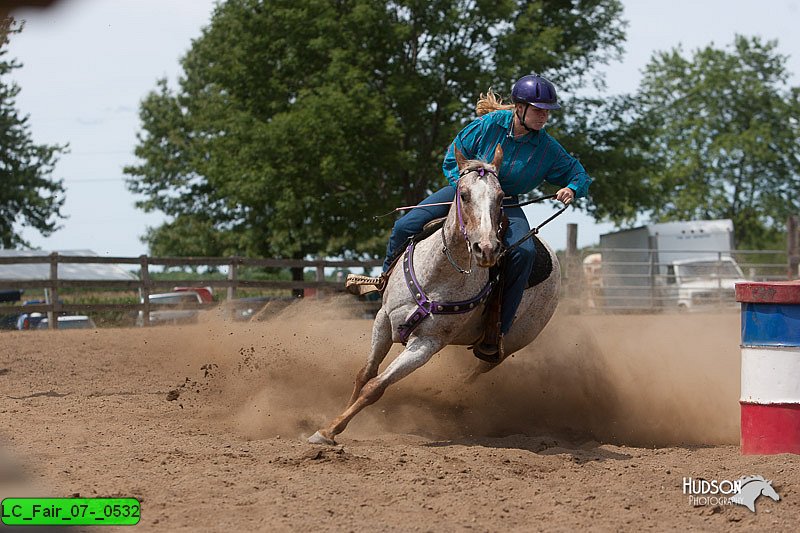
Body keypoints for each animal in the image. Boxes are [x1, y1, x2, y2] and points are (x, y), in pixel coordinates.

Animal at [310, 142, 560, 444]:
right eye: (463, 194)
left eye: (501, 197)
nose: (487, 249)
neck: (438, 273)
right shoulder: (383, 319)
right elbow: (364, 374)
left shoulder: (427, 343)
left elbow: (376, 386)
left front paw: (329, 431)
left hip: (510, 345)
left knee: (474, 373)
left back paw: (450, 398)